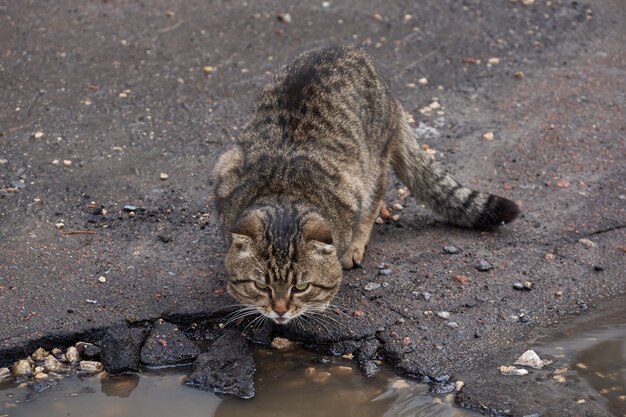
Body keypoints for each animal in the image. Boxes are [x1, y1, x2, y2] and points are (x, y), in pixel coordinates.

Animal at [212, 46, 516, 324]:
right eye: (261, 286)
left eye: (301, 287)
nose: (280, 311)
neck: (284, 192)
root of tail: (352, 50)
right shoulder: (225, 171)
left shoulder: (350, 187)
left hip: (372, 161)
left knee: (375, 195)